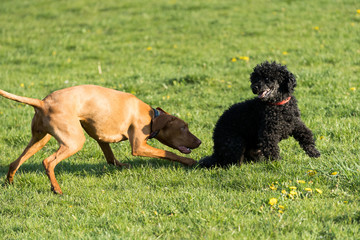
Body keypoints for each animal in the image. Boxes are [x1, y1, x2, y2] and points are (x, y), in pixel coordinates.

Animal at [0, 85, 201, 194]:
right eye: (184, 127)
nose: (199, 142)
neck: (152, 115)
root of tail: (42, 102)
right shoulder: (138, 146)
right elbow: (168, 153)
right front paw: (189, 162)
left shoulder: (100, 138)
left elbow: (111, 158)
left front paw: (123, 167)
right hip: (74, 142)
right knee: (48, 162)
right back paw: (56, 189)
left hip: (39, 140)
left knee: (14, 163)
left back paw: (9, 183)